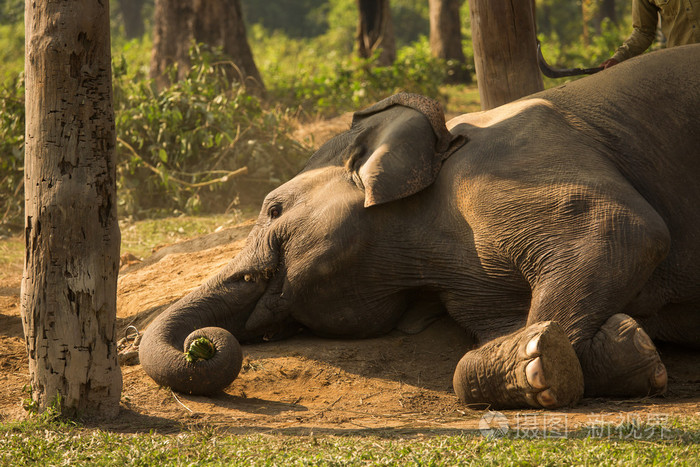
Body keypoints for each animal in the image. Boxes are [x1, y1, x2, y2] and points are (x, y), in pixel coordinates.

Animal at [139, 44, 700, 410]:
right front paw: (632, 348)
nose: (201, 344)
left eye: (274, 210)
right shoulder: (470, 288)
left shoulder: (507, 168)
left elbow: (626, 229)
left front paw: (544, 356)